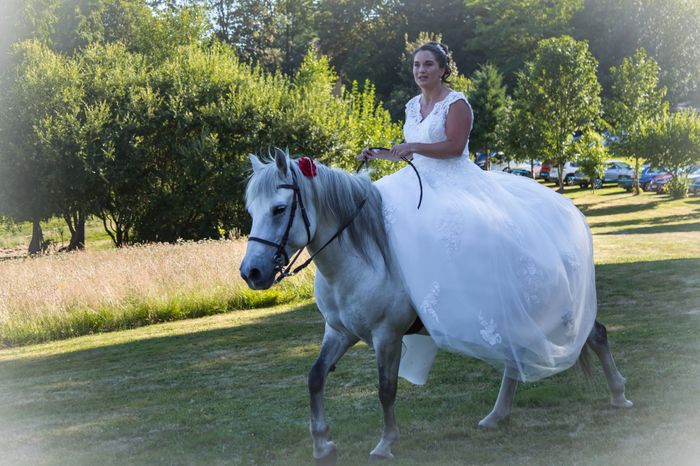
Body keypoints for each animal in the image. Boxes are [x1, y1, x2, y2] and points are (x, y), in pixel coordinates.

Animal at [239, 148, 633, 465]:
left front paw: (385, 444)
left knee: (596, 335)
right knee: (516, 358)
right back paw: (497, 415)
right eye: (251, 210)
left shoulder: (387, 335)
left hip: (561, 310)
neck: (361, 256)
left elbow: (386, 389)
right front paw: (323, 446)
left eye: (279, 209)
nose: (251, 272)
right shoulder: (338, 332)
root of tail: (568, 210)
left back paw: (619, 395)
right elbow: (316, 377)